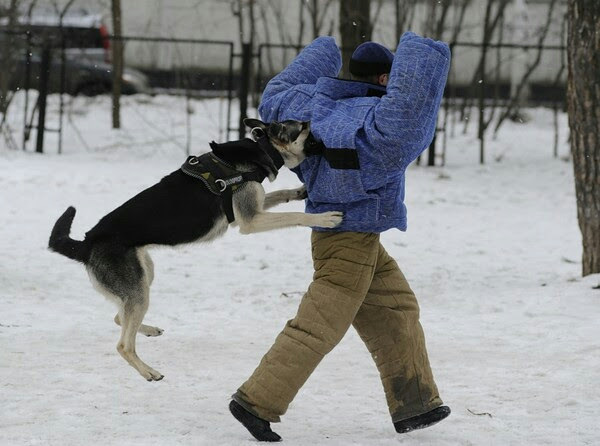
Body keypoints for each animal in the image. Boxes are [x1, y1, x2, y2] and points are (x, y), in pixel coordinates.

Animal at [48, 119, 340, 384]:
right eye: (303, 127)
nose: (317, 127)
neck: (263, 149)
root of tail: (86, 243)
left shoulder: (252, 209)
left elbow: (280, 194)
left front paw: (299, 191)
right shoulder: (250, 221)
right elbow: (294, 216)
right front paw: (324, 218)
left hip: (144, 276)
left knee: (120, 316)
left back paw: (149, 330)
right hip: (138, 289)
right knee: (123, 344)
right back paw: (149, 371)